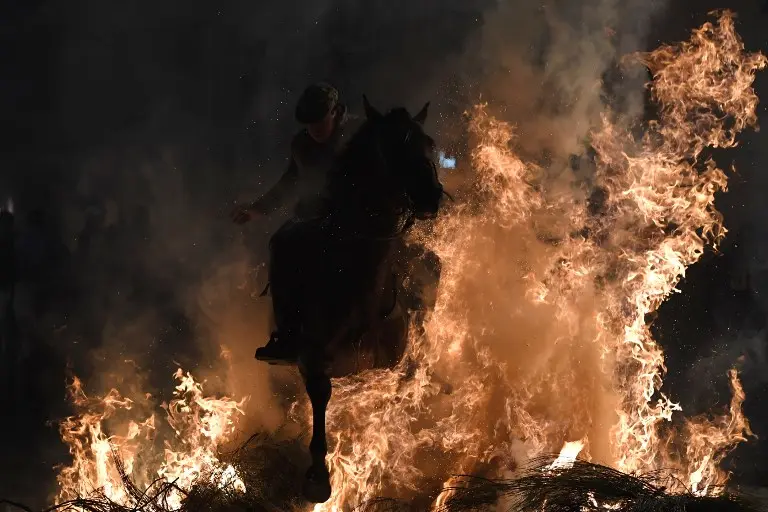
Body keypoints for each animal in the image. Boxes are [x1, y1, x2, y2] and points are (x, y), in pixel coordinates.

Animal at [264, 95, 445, 503]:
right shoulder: (312, 357)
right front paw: (318, 476)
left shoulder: (393, 358)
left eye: (429, 143)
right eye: (393, 146)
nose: (431, 196)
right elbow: (320, 395)